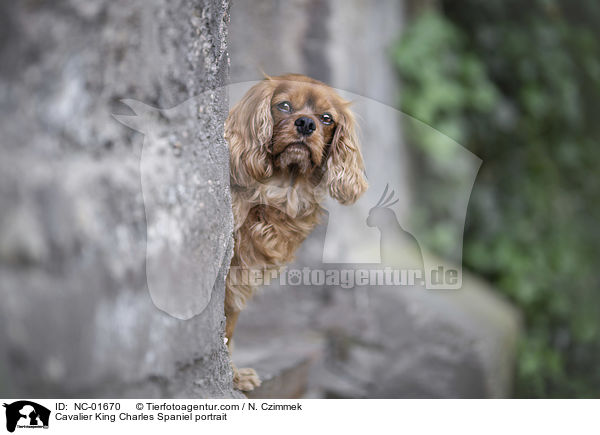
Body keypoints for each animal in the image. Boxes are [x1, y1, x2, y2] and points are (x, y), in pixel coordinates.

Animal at [223, 74, 368, 392]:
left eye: (326, 118)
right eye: (284, 106)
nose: (305, 124)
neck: (279, 190)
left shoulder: (240, 277)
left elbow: (227, 328)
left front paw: (233, 376)